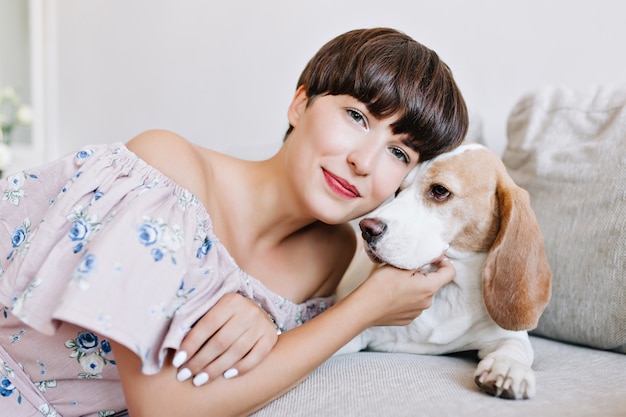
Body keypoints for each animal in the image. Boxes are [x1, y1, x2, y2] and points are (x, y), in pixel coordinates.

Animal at [336, 143, 552, 400]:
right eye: (398, 191)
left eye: (439, 190)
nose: (366, 229)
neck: (450, 290)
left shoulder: (507, 335)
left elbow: (515, 347)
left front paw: (508, 367)